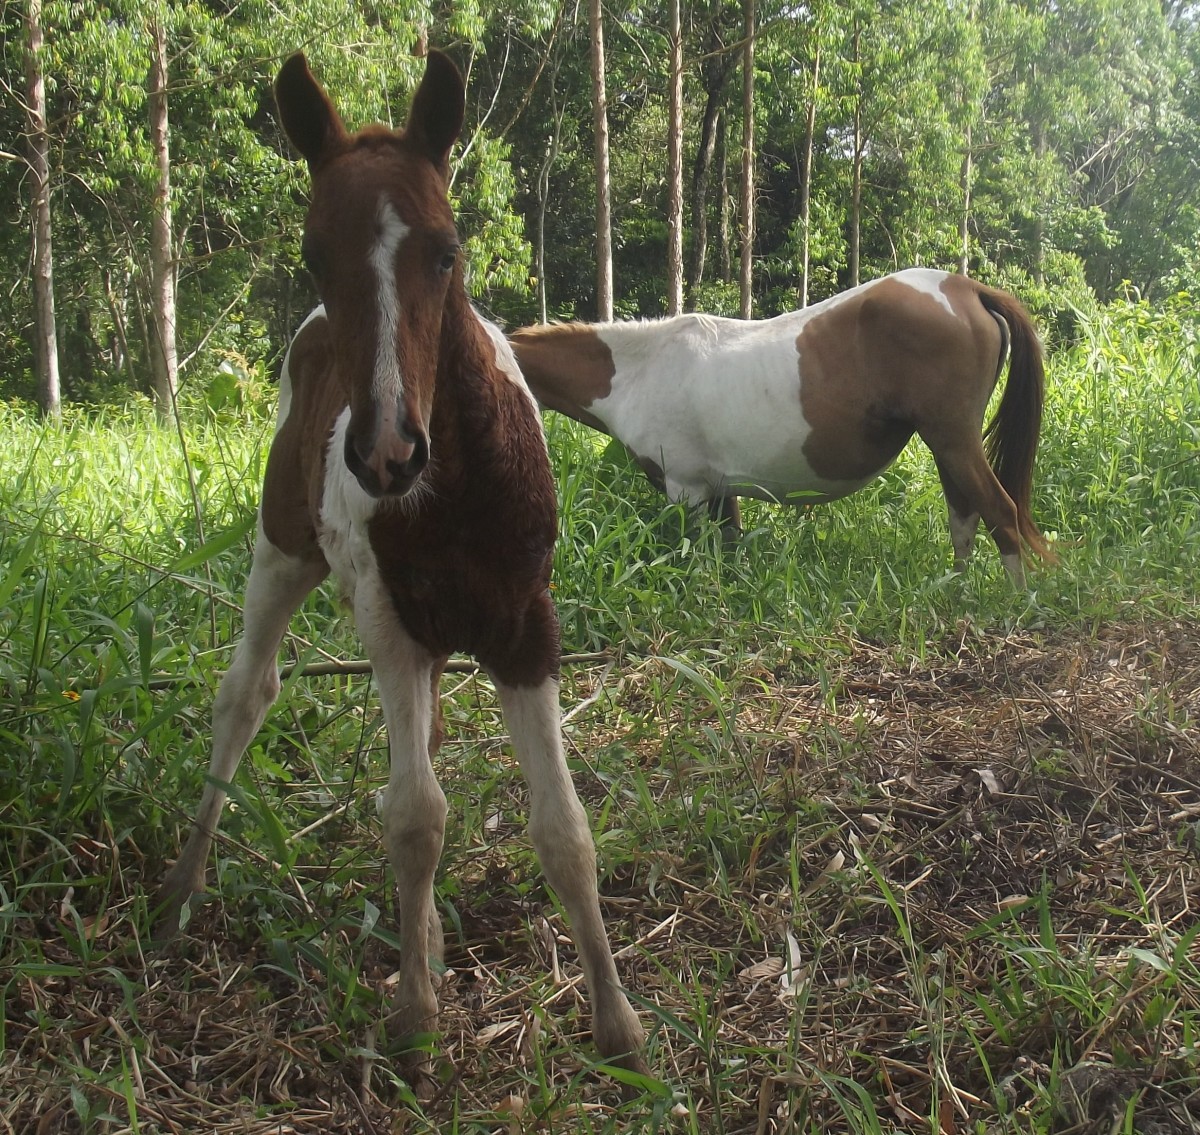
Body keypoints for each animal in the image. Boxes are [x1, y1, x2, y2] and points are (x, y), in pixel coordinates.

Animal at [162, 50, 648, 1079]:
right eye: (315, 251)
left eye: (446, 247)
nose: (386, 452)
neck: (456, 489)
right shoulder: (387, 624)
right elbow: (415, 816)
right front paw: (416, 1016)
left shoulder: (526, 628)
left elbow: (563, 827)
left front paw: (618, 1026)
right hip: (280, 551)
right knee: (246, 694)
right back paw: (182, 886)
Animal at [511, 268, 1056, 580]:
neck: (639, 371)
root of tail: (965, 288)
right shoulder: (719, 489)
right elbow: (729, 553)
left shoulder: (686, 489)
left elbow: (698, 559)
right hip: (948, 446)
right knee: (964, 519)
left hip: (954, 441)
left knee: (1002, 514)